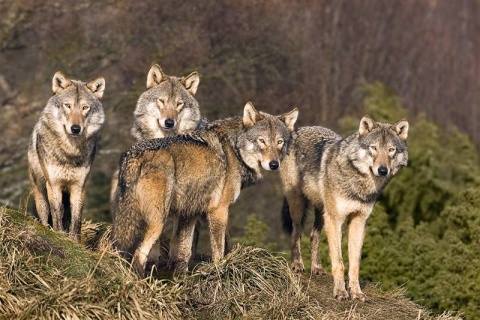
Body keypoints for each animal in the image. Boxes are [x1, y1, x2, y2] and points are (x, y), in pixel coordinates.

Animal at [28, 71, 106, 239]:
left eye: (85, 108)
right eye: (68, 105)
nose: (75, 128)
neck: (70, 151)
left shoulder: (79, 186)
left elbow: (76, 219)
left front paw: (75, 240)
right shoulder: (54, 184)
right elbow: (57, 214)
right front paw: (59, 235)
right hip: (40, 190)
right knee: (45, 214)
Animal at [114, 102, 298, 276]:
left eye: (280, 142)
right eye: (262, 140)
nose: (274, 164)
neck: (235, 150)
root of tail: (134, 155)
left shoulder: (189, 213)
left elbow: (183, 252)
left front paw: (181, 278)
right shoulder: (218, 210)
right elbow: (219, 249)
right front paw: (220, 271)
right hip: (158, 221)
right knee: (139, 254)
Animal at [282, 116, 408, 302]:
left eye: (391, 150)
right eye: (374, 148)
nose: (383, 170)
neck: (359, 184)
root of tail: (299, 129)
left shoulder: (358, 221)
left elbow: (354, 263)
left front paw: (356, 292)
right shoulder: (336, 220)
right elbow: (339, 262)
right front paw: (341, 292)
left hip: (322, 213)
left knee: (313, 236)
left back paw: (316, 268)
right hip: (299, 206)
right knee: (296, 233)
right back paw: (297, 264)